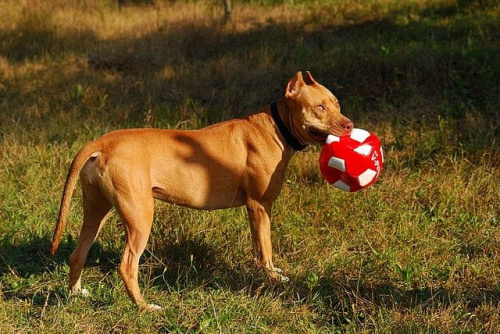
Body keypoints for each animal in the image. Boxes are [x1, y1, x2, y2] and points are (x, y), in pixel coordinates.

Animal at [49, 71, 352, 310]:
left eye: (337, 104)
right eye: (320, 107)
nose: (349, 125)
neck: (276, 126)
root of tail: (102, 143)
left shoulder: (255, 210)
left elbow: (259, 247)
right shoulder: (259, 206)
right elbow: (265, 247)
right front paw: (272, 277)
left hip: (97, 210)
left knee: (78, 254)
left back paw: (76, 294)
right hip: (139, 217)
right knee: (127, 266)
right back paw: (145, 307)